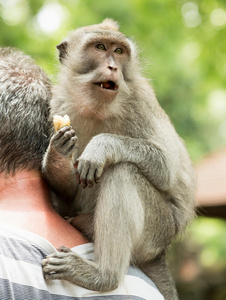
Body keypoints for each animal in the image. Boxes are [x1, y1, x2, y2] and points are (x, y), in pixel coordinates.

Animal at [42, 19, 196, 300]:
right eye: (100, 47)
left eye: (119, 51)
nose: (113, 66)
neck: (96, 107)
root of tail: (163, 249)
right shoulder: (58, 105)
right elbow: (68, 189)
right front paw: (58, 151)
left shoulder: (141, 100)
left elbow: (167, 168)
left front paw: (101, 146)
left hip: (158, 230)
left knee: (123, 171)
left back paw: (103, 276)